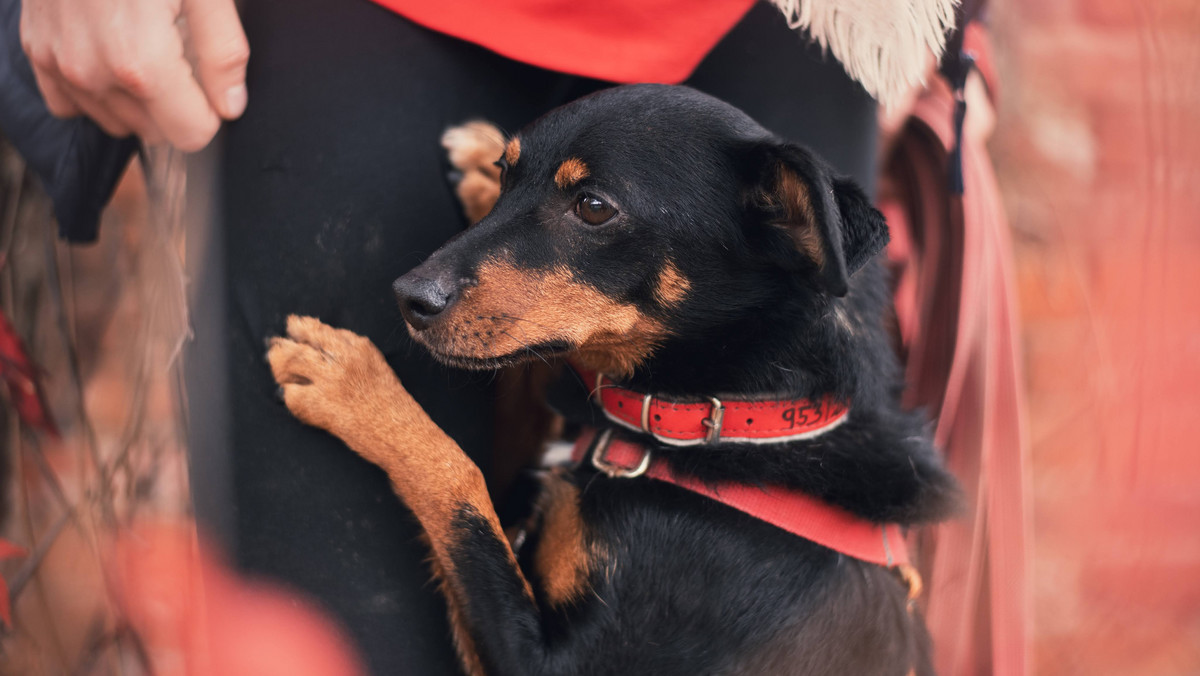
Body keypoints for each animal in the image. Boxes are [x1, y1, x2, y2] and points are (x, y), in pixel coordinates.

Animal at [270, 84, 955, 676]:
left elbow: (458, 481)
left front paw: (355, 385)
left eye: (594, 207)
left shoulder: (547, 666)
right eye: (508, 172)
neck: (729, 416)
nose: (407, 297)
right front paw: (475, 167)